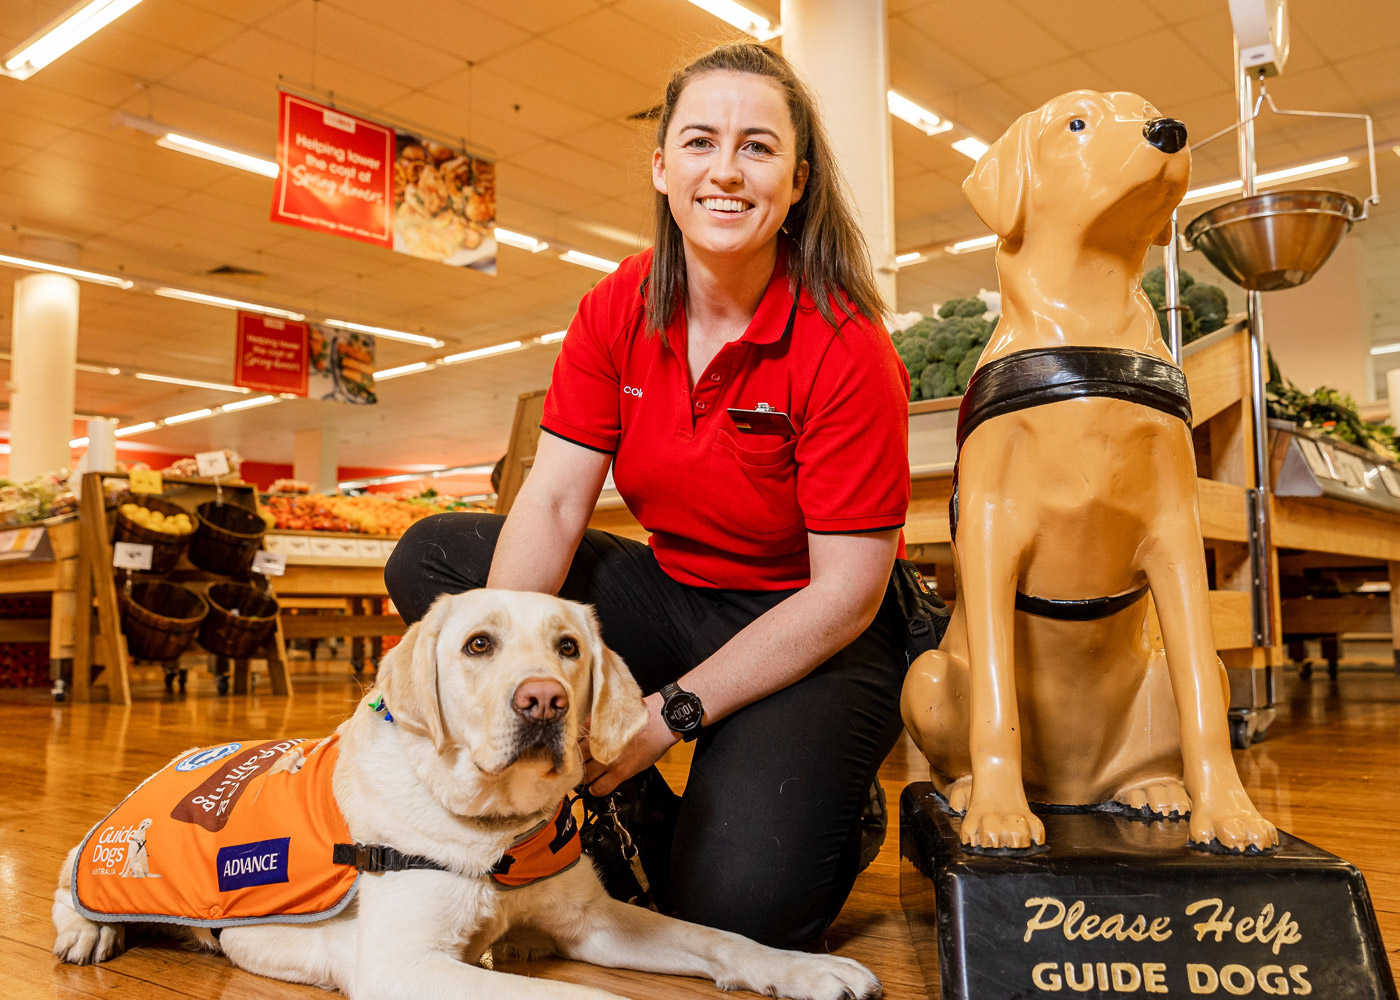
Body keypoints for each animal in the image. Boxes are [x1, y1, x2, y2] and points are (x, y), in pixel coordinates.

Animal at [63, 588, 884, 997]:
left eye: (569, 647)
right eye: (478, 645)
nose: (545, 702)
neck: (493, 830)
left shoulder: (592, 921)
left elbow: (719, 937)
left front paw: (807, 969)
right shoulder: (404, 964)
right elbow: (580, 998)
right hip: (115, 850)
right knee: (73, 876)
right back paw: (86, 931)